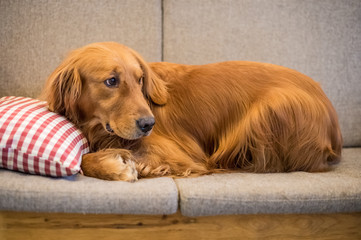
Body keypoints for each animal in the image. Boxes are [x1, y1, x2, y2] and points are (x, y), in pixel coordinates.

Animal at [40, 41, 342, 181]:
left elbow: (88, 159)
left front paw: (117, 165)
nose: (149, 124)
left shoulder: (176, 154)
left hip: (270, 108)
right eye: (111, 81)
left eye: (140, 79)